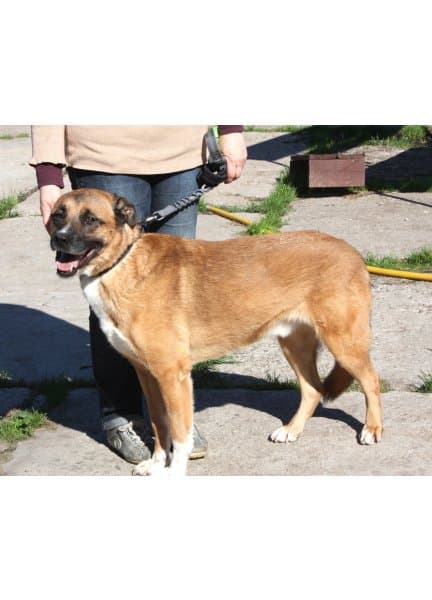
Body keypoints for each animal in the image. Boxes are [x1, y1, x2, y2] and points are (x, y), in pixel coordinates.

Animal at [49, 188, 383, 475]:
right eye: (58, 215)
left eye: (91, 219)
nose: (60, 241)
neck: (122, 265)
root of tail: (351, 250)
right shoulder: (146, 374)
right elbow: (159, 423)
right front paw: (156, 464)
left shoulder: (172, 375)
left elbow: (179, 434)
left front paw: (174, 472)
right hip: (294, 344)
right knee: (313, 389)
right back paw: (291, 430)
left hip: (344, 342)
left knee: (370, 380)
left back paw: (372, 429)